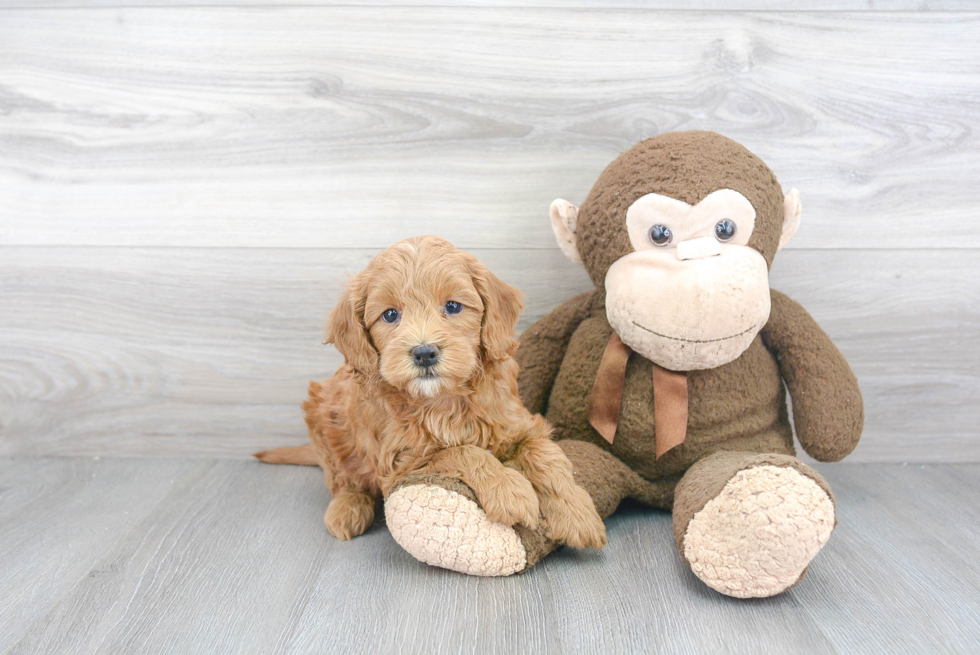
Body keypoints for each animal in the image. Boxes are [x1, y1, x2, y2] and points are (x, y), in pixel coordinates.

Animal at [256, 236, 604, 560]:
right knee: (342, 477)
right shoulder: (403, 460)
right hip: (323, 418)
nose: (424, 353)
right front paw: (509, 490)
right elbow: (462, 451)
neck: (445, 399)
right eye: (390, 315)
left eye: (453, 306)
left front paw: (577, 513)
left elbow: (545, 456)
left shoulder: (519, 423)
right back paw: (348, 507)